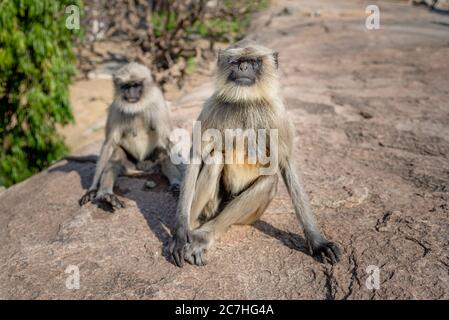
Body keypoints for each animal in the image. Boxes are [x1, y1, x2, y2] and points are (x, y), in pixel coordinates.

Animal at [79, 62, 181, 210]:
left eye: (136, 85)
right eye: (126, 86)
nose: (131, 92)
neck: (137, 107)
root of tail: (140, 168)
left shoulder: (158, 103)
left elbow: (168, 139)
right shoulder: (115, 109)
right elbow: (109, 144)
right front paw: (92, 188)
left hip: (149, 162)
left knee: (163, 155)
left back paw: (176, 185)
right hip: (129, 166)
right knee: (116, 154)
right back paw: (106, 195)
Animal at [170, 42, 342, 268]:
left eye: (253, 62)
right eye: (236, 62)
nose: (243, 68)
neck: (245, 101)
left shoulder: (277, 113)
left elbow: (286, 162)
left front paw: (318, 242)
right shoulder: (211, 107)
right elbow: (197, 156)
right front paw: (180, 233)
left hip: (248, 217)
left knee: (269, 181)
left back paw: (202, 237)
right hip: (213, 206)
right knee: (215, 159)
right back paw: (190, 228)